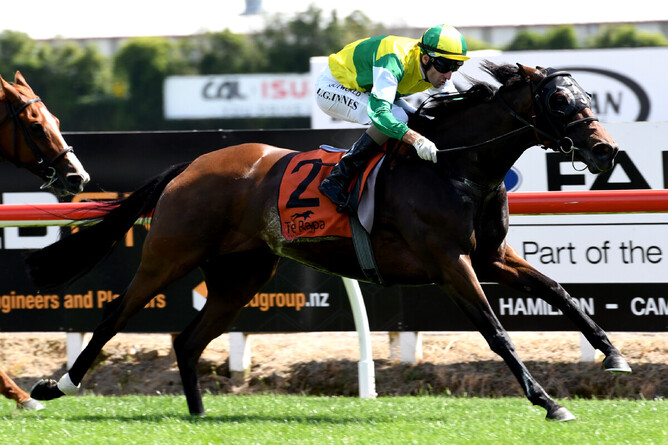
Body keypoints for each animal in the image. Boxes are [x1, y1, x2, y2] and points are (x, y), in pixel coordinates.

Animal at [27, 61, 631, 421]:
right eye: (558, 102)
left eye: (587, 95)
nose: (605, 151)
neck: (457, 167)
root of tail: (191, 164)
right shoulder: (449, 263)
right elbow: (496, 332)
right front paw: (548, 402)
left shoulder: (490, 256)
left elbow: (558, 291)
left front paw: (612, 353)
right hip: (170, 255)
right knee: (114, 317)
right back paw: (53, 388)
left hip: (243, 275)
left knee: (188, 340)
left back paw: (198, 413)